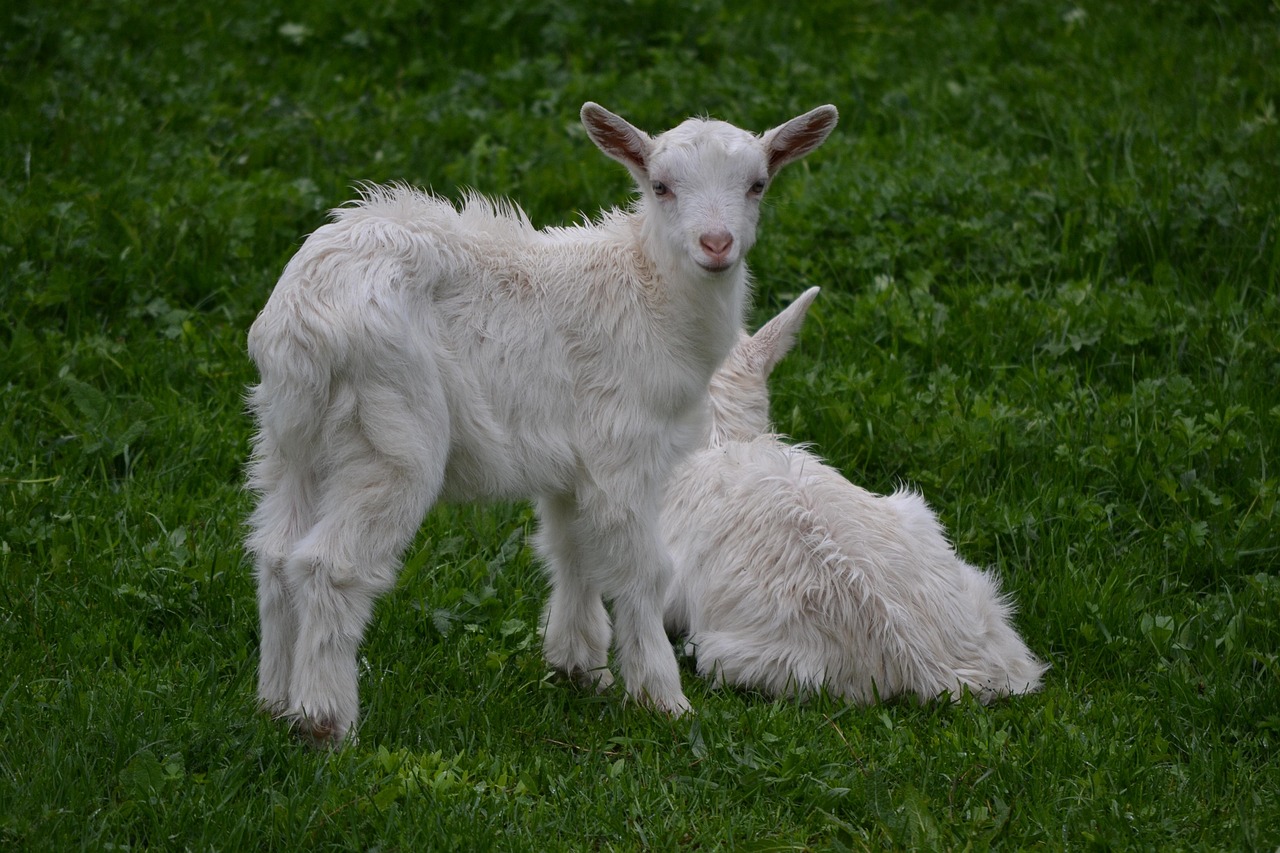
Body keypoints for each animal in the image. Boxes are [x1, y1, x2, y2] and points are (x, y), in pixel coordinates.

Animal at [245, 102, 839, 743]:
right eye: (661, 186)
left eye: (758, 184)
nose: (716, 244)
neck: (650, 294)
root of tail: (303, 318)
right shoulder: (623, 450)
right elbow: (645, 570)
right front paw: (662, 700)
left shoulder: (571, 463)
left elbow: (570, 547)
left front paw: (580, 668)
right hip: (389, 429)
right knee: (330, 563)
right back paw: (324, 721)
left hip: (289, 434)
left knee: (275, 552)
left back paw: (274, 705)